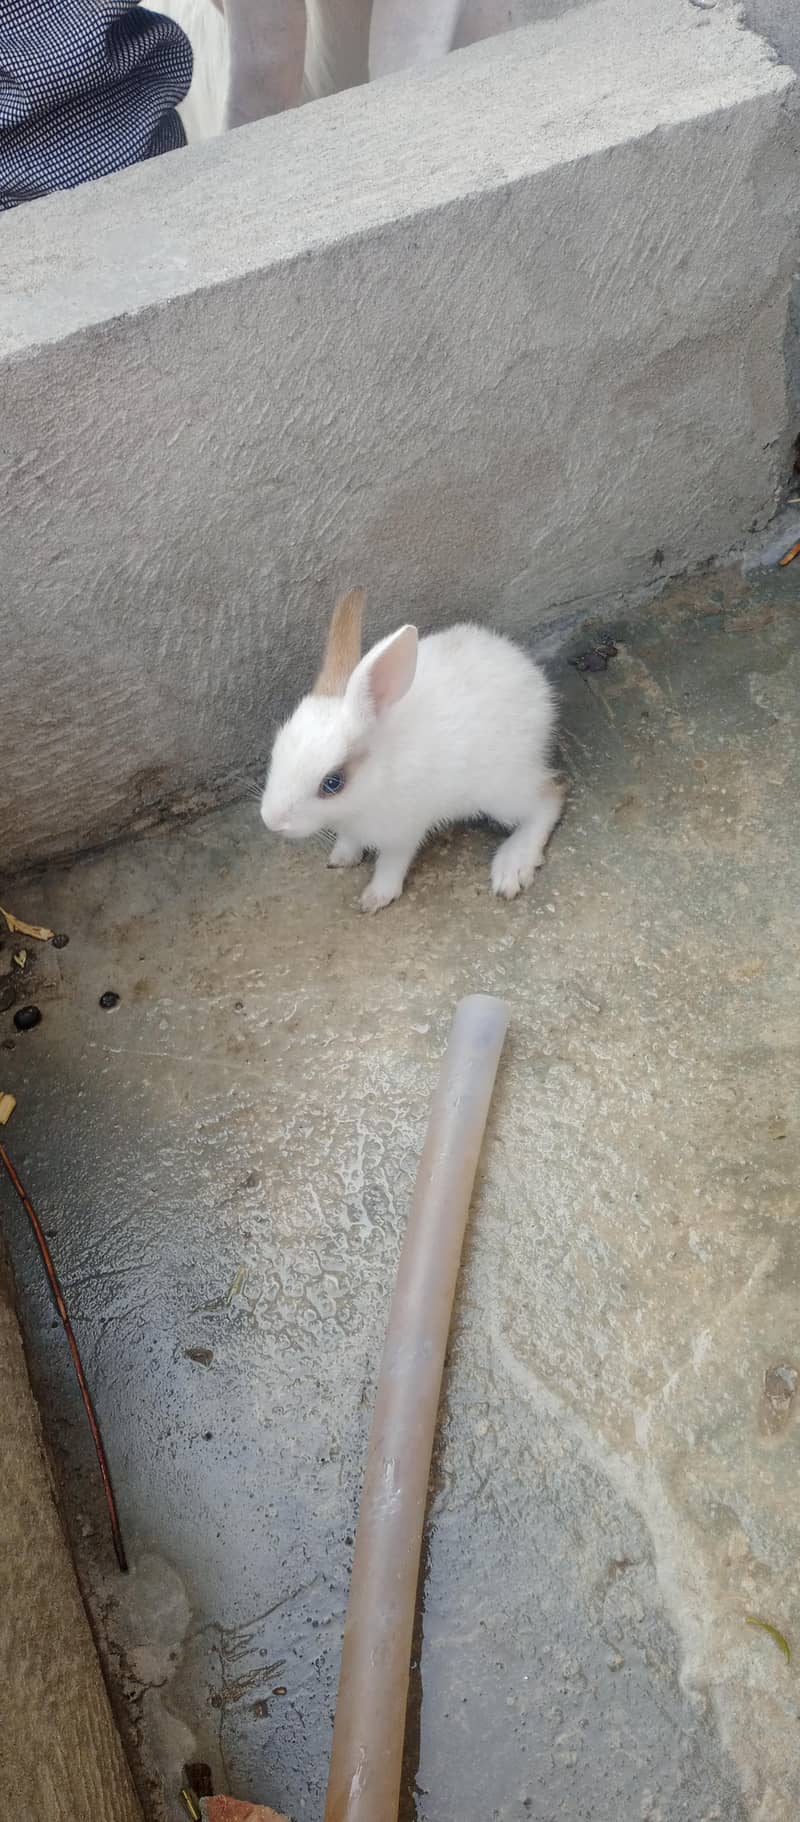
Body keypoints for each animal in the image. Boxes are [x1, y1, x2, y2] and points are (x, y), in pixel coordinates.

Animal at [260, 587, 564, 913]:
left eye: (332, 783)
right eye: (276, 749)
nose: (271, 821)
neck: (374, 782)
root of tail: (533, 679)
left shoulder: (403, 830)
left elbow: (393, 862)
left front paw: (376, 897)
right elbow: (349, 840)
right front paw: (342, 858)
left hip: (502, 792)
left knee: (549, 798)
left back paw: (512, 866)